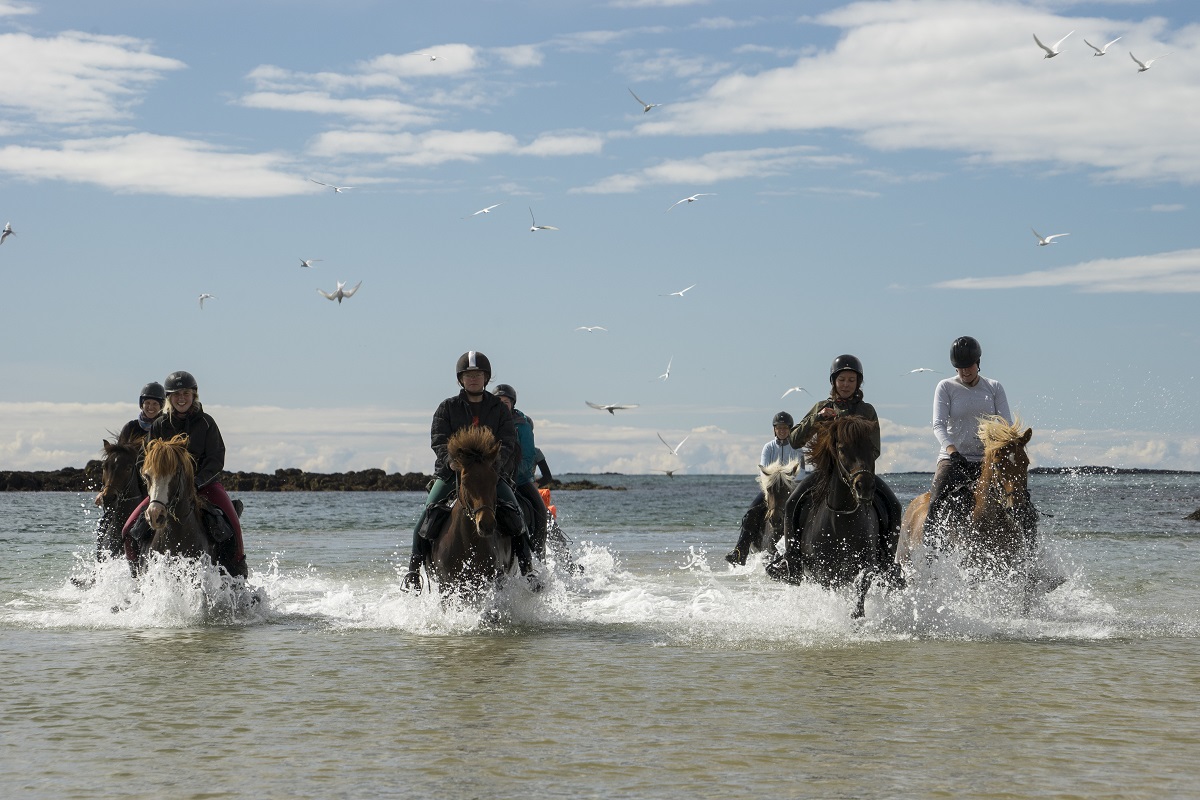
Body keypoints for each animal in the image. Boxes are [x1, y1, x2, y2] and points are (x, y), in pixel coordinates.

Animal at [427, 429, 516, 597]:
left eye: (495, 481)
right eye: (466, 482)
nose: (486, 524)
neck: (468, 543)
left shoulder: (492, 583)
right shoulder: (446, 586)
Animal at [768, 417, 883, 618]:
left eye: (872, 448)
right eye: (842, 449)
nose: (865, 487)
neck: (843, 519)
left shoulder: (866, 563)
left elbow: (863, 582)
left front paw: (857, 614)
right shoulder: (822, 572)